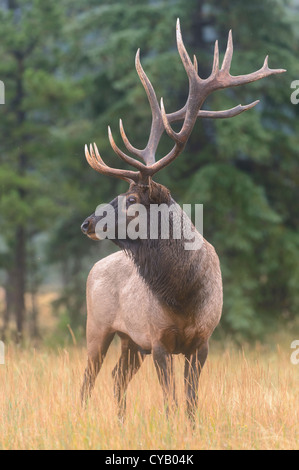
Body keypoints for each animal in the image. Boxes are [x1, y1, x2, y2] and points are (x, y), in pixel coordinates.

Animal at [80, 20, 286, 420]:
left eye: (131, 199)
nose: (86, 223)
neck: (184, 295)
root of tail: (94, 267)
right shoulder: (159, 340)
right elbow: (171, 402)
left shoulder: (201, 342)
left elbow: (190, 403)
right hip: (97, 327)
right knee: (87, 380)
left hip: (130, 342)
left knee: (116, 378)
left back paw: (121, 422)